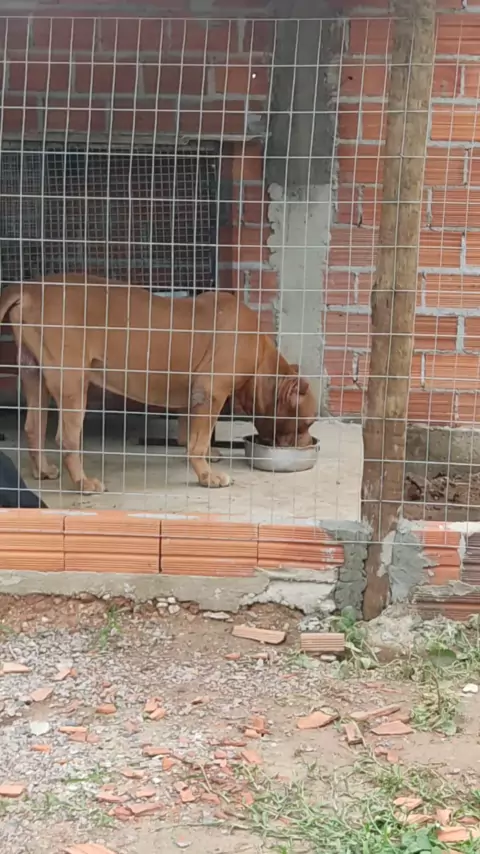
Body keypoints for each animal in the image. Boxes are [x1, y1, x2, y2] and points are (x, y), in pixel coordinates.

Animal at [0, 275, 317, 491]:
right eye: (307, 423)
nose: (309, 445)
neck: (262, 358)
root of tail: (29, 288)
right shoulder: (211, 391)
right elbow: (197, 442)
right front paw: (206, 476)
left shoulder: (196, 396)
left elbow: (193, 435)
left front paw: (207, 455)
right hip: (72, 384)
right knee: (65, 438)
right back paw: (83, 483)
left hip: (35, 377)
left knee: (34, 427)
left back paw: (43, 470)